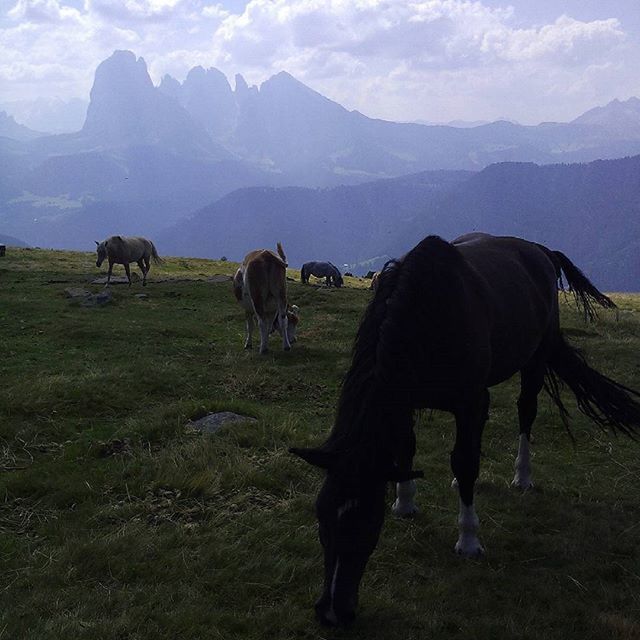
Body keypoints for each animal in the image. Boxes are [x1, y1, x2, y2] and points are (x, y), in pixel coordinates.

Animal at [292, 234, 640, 624]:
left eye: (366, 523)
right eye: (321, 518)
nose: (331, 612)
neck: (427, 315)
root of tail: (540, 251)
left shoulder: (470, 401)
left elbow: (466, 461)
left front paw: (469, 539)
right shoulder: (406, 397)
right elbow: (407, 448)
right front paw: (405, 502)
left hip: (535, 358)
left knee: (525, 413)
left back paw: (522, 476)